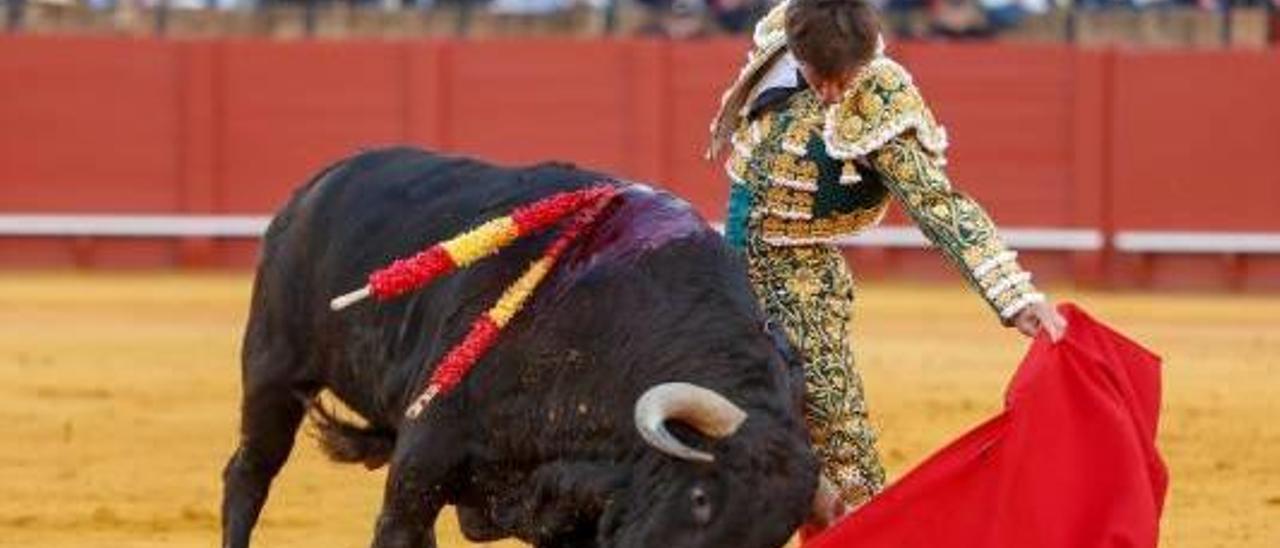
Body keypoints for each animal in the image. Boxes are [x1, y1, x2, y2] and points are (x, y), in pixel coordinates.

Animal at [220, 147, 814, 545]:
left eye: (772, 536)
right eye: (700, 497)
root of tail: (323, 180)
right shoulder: (419, 469)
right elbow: (400, 523)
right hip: (273, 367)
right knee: (248, 473)